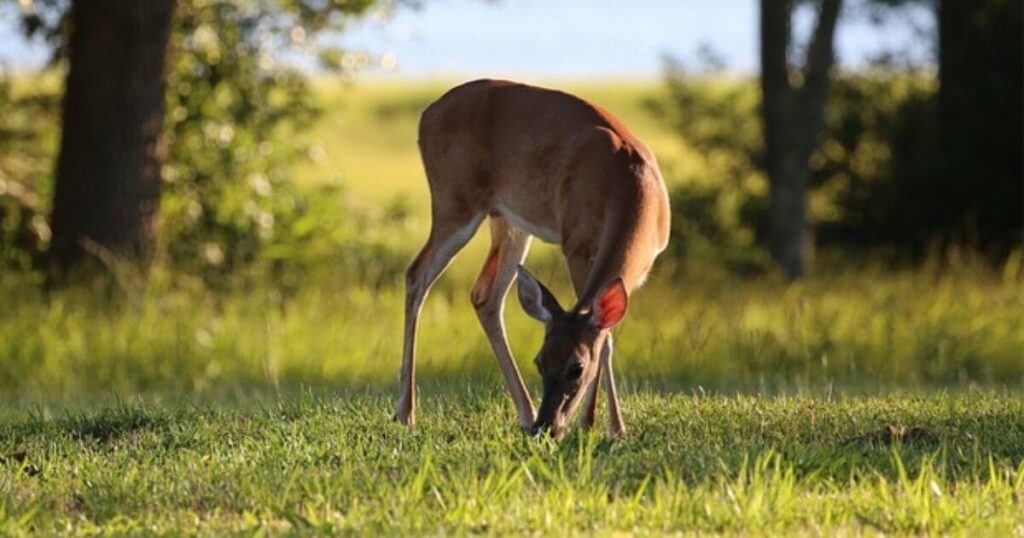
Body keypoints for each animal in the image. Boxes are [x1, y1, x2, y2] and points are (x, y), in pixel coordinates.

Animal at [393, 80, 671, 440]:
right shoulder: (576, 244)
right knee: (417, 274)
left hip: (508, 222)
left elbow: (607, 334)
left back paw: (524, 414)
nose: (547, 426)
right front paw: (592, 423)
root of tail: (426, 115)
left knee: (485, 295)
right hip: (454, 203)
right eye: (540, 361)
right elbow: (605, 338)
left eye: (576, 367)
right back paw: (406, 412)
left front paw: (614, 427)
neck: (630, 187)